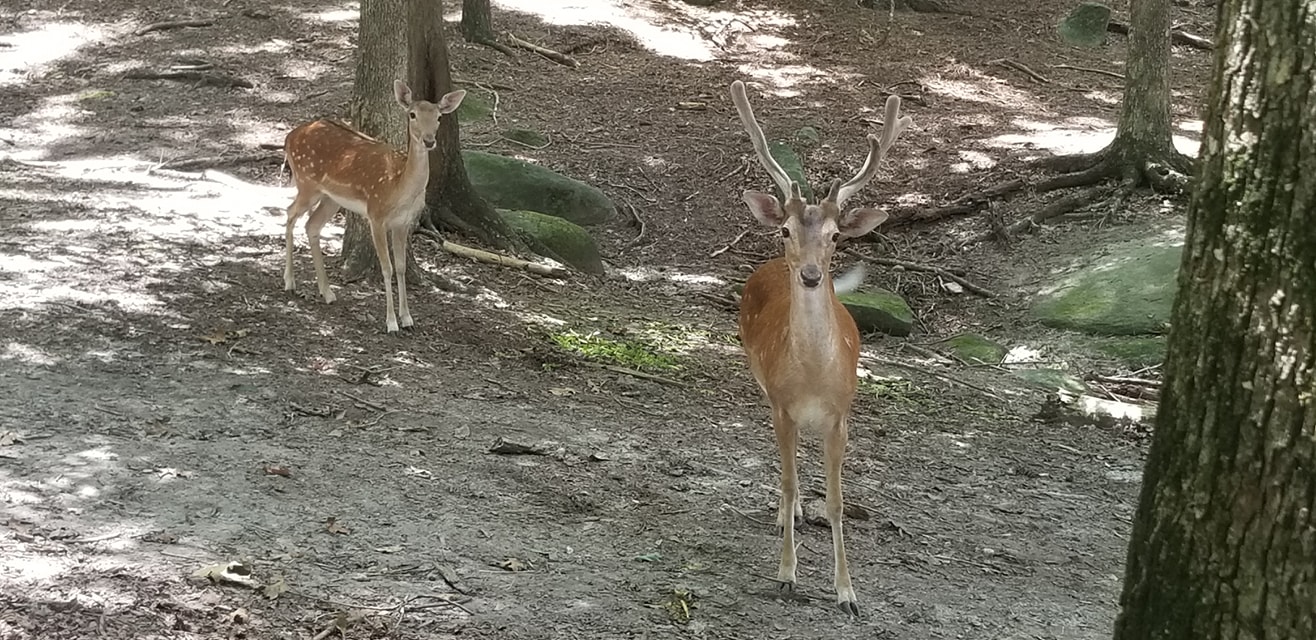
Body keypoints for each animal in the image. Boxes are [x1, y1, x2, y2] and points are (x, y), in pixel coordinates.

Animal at [280, 78, 465, 334]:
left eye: (438, 117)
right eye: (412, 114)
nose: (429, 141)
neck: (398, 187)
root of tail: (289, 137)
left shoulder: (403, 222)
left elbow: (401, 267)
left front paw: (407, 318)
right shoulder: (376, 215)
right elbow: (387, 268)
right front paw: (391, 322)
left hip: (331, 198)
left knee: (311, 225)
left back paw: (327, 292)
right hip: (307, 182)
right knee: (290, 213)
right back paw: (290, 282)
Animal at [731, 80, 905, 616]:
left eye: (833, 235)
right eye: (787, 229)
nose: (809, 275)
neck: (811, 378)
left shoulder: (841, 415)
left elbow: (837, 502)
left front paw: (847, 592)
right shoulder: (782, 408)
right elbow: (790, 481)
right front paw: (787, 575)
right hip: (760, 384)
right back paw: (785, 516)